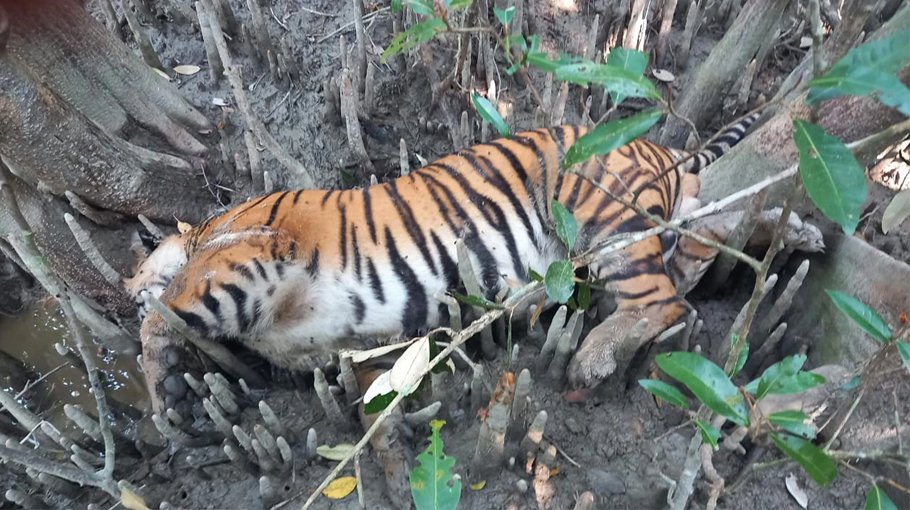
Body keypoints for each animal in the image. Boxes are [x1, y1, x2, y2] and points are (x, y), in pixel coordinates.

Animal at [125, 116, 765, 414]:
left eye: (138, 261)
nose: (124, 282)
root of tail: (654, 144)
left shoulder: (248, 257)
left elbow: (165, 313)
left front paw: (163, 397)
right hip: (656, 220)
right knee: (696, 251)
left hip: (603, 212)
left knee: (661, 301)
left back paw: (591, 359)